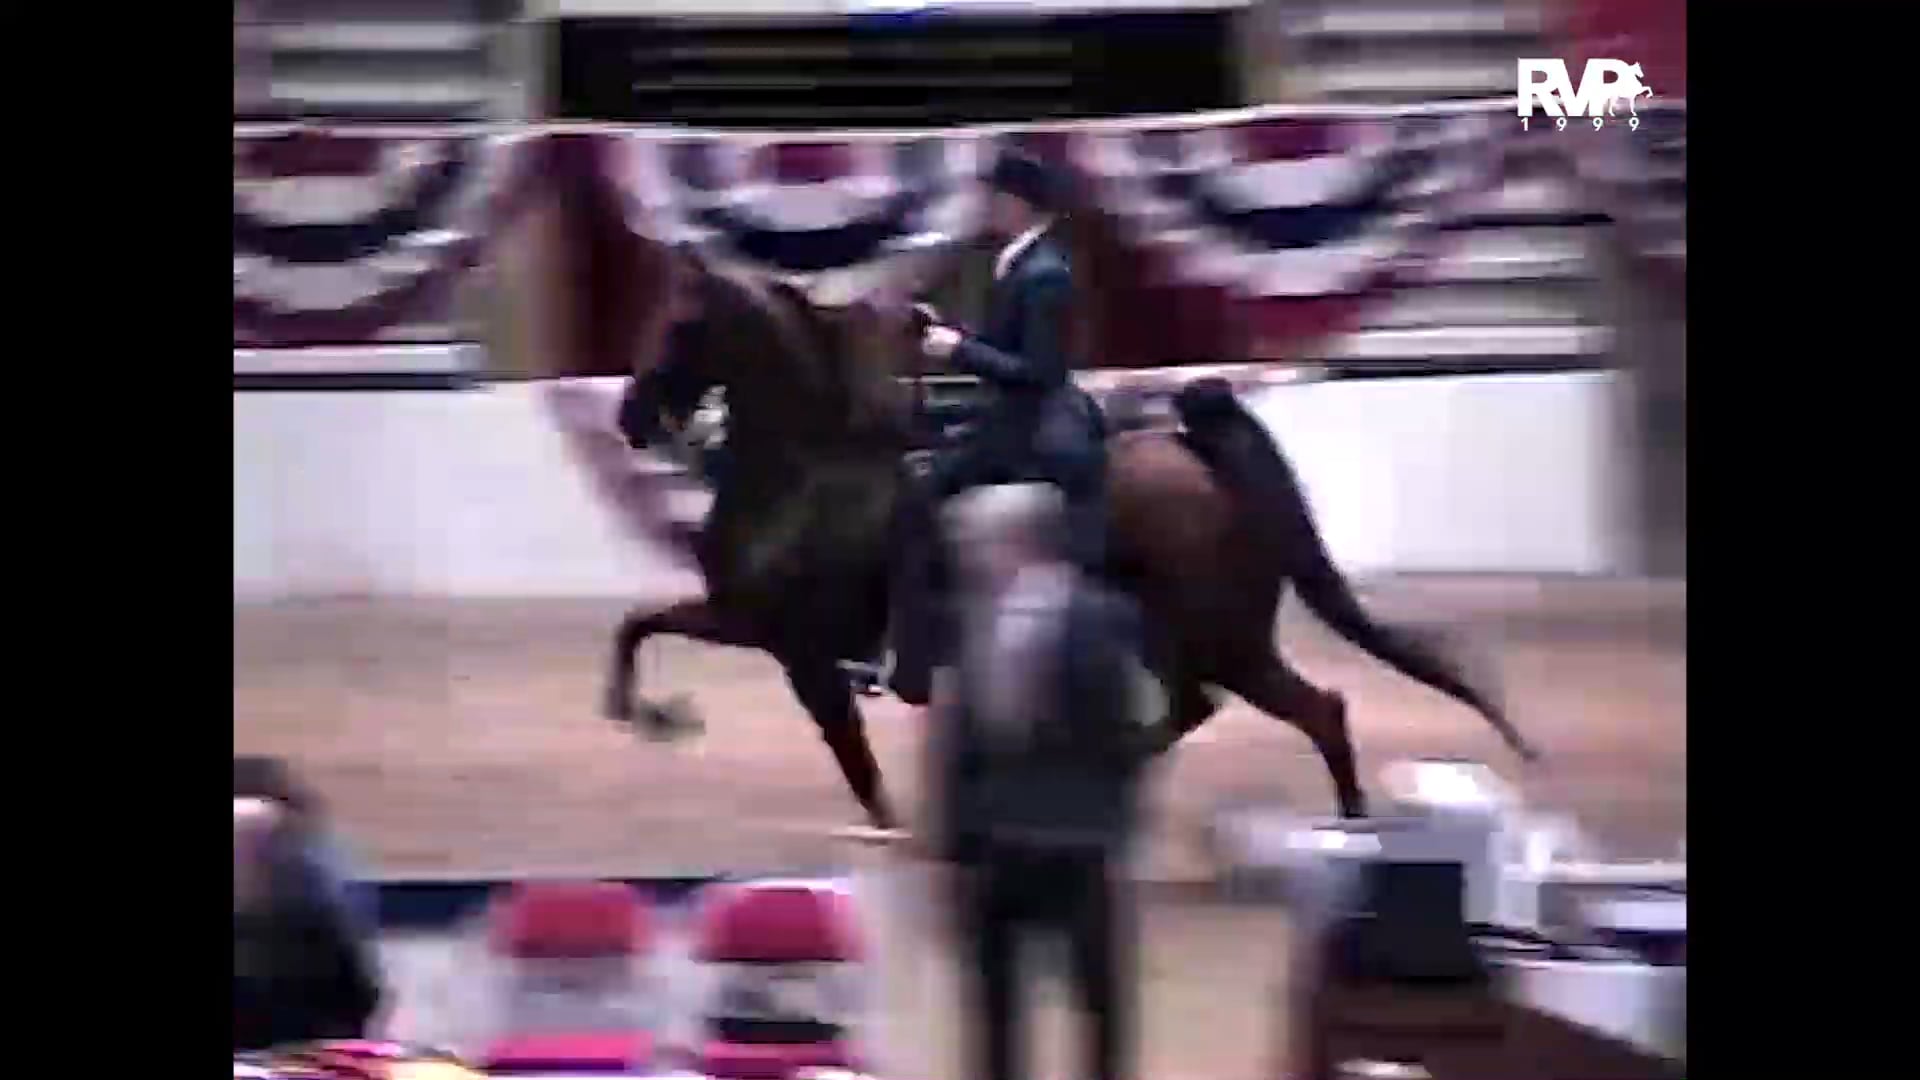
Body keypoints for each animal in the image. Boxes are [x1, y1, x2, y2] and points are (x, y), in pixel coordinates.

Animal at [599, 247, 1539, 831]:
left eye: (681, 324)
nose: (631, 418)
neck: (806, 469)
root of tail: (1192, 450)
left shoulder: (788, 640)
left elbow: (850, 753)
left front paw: (660, 716)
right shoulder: (749, 621)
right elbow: (639, 622)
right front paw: (651, 713)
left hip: (1224, 638)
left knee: (1316, 711)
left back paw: (1347, 836)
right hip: (1181, 639)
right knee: (1198, 708)